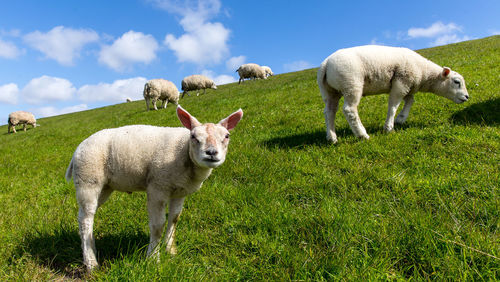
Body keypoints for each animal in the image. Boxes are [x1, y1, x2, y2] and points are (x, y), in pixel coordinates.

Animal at [64, 106, 244, 270]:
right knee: (86, 219)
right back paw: (91, 262)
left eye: (227, 136)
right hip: (88, 179)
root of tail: (77, 150)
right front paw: (153, 258)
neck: (184, 152)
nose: (211, 153)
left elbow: (174, 218)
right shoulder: (158, 187)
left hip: (105, 186)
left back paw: (90, 249)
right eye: (193, 136)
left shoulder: (180, 191)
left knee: (84, 216)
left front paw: (170, 249)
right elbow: (158, 225)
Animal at [318, 46, 470, 144]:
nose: (467, 97)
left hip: (330, 91)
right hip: (351, 83)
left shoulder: (409, 86)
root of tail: (326, 63)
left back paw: (332, 138)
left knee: (329, 111)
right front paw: (389, 128)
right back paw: (362, 135)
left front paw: (401, 119)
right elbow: (393, 106)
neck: (424, 73)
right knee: (349, 110)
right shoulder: (401, 82)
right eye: (456, 82)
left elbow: (410, 101)